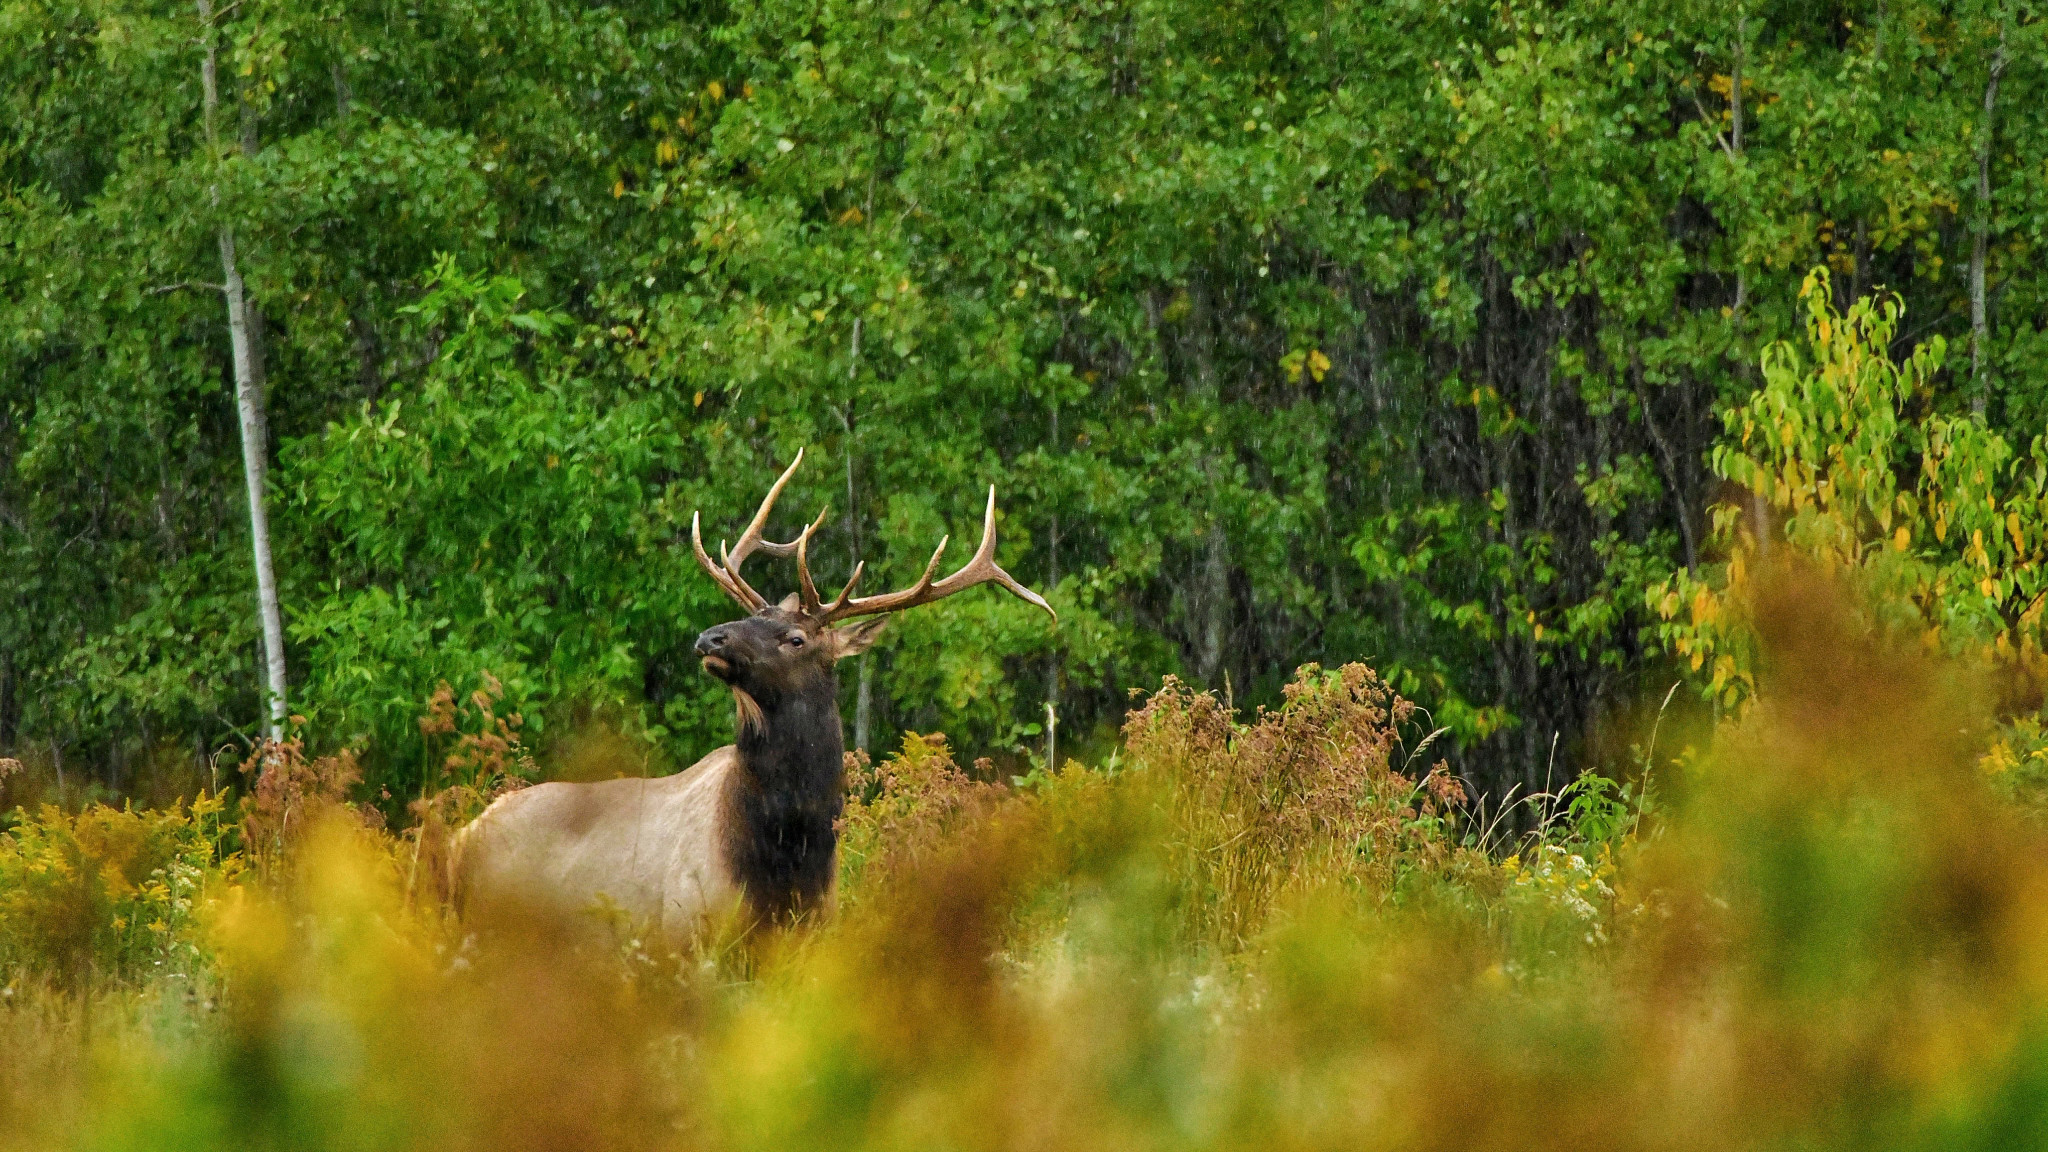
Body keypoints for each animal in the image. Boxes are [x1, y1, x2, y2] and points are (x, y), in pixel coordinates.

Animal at [451, 451, 1055, 939]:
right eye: (749, 617)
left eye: (795, 638)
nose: (710, 637)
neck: (786, 861)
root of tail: (460, 838)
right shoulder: (685, 935)